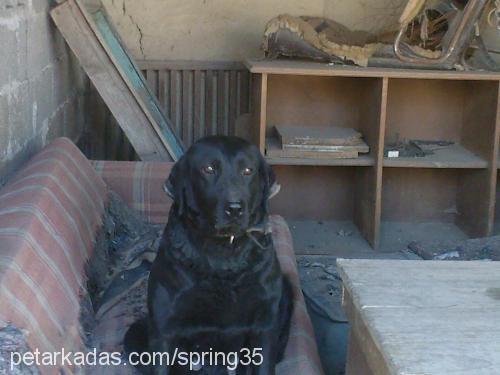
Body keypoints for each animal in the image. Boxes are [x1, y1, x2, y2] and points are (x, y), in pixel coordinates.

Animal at [124, 137, 292, 374]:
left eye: (248, 171)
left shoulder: (265, 324)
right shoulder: (163, 327)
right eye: (208, 169)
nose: (235, 208)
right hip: (136, 332)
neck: (223, 254)